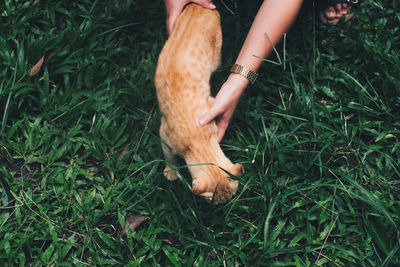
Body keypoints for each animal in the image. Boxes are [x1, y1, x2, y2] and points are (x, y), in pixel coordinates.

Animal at [155, 3, 242, 204]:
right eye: (215, 203)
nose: (226, 204)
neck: (197, 138)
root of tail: (197, 5)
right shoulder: (164, 134)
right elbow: (169, 156)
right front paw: (171, 170)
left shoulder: (212, 103)